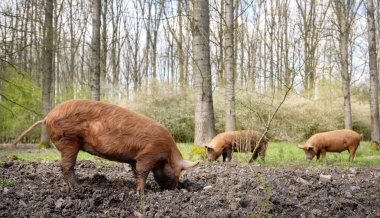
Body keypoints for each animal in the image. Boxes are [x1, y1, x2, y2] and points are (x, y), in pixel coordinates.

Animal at [12, 99, 196, 192]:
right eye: (178, 172)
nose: (175, 189)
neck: (167, 153)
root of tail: (47, 117)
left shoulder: (135, 159)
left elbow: (136, 172)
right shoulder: (148, 154)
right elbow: (143, 172)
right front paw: (142, 192)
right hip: (69, 140)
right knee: (66, 165)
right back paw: (78, 188)